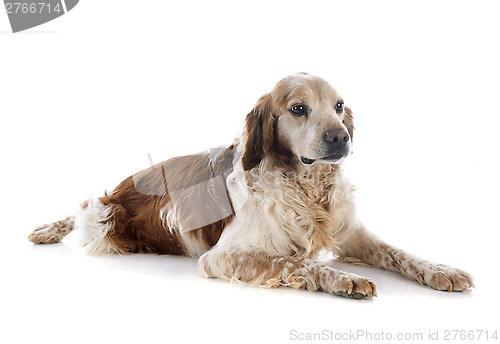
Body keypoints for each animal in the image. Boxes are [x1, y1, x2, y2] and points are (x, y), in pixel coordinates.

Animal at [29, 74, 474, 300]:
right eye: (298, 108)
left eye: (339, 106)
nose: (341, 137)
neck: (306, 187)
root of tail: (124, 186)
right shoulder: (222, 256)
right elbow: (296, 263)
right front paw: (341, 279)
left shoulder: (352, 233)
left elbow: (399, 253)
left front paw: (441, 270)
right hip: (106, 217)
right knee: (84, 208)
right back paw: (48, 229)